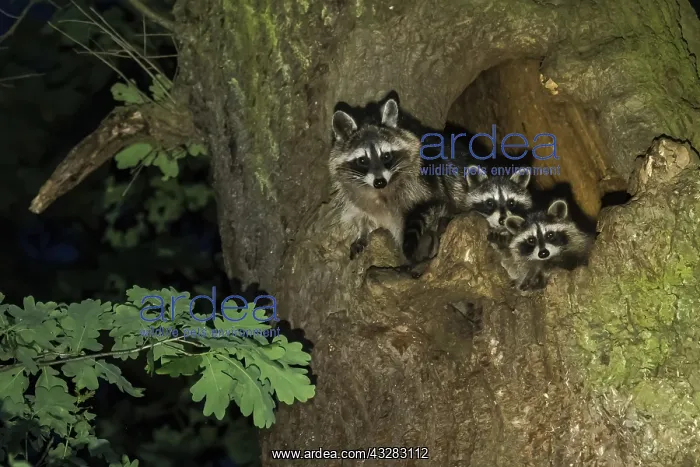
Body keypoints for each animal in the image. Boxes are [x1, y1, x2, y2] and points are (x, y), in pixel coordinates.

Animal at [329, 98, 437, 259]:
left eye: (386, 156)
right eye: (363, 160)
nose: (380, 182)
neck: (379, 192)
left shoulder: (417, 190)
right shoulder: (355, 196)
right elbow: (362, 215)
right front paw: (363, 231)